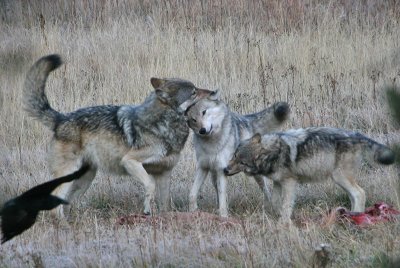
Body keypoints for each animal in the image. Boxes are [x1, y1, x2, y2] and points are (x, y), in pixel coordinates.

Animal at [22, 54, 212, 218]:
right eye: (194, 92)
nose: (212, 92)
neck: (164, 125)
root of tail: (61, 119)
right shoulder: (130, 161)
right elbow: (149, 186)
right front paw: (146, 210)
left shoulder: (164, 173)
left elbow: (165, 205)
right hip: (69, 174)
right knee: (55, 207)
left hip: (85, 179)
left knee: (66, 203)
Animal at [223, 126, 396, 221]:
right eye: (234, 156)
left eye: (242, 162)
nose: (225, 170)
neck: (273, 152)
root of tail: (357, 135)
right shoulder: (278, 182)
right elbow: (275, 202)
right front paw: (271, 216)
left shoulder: (289, 182)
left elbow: (286, 205)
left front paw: (283, 223)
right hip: (340, 180)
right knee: (354, 195)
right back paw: (349, 215)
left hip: (339, 177)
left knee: (360, 193)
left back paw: (356, 216)